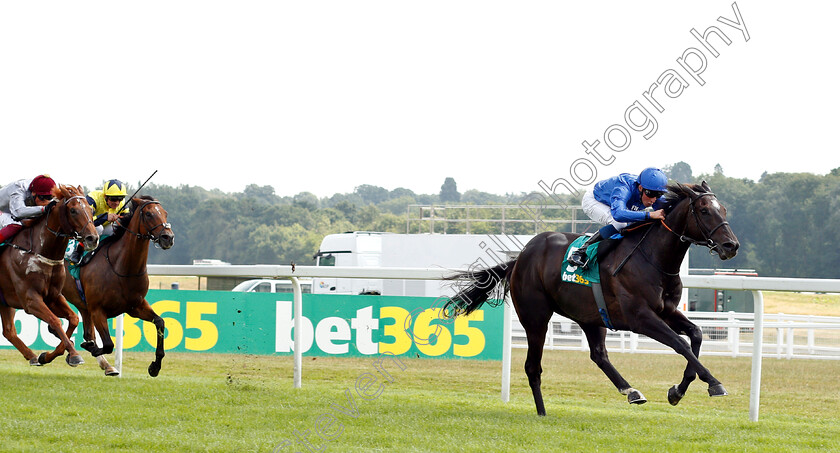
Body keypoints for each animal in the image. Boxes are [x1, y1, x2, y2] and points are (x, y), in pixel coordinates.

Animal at [0, 185, 100, 366]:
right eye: (73, 210)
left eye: (91, 209)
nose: (93, 238)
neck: (38, 251)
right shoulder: (30, 299)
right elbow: (55, 320)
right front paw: (74, 353)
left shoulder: (53, 296)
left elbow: (73, 319)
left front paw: (49, 355)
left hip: (5, 301)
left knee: (9, 331)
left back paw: (32, 356)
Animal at [62, 196, 176, 376]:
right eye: (149, 214)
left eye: (165, 213)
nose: (168, 238)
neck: (121, 266)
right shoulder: (97, 310)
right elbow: (108, 344)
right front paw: (88, 347)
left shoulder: (135, 306)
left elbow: (160, 322)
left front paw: (155, 365)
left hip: (82, 305)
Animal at [442, 182, 740, 414]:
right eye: (704, 210)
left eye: (724, 210)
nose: (731, 245)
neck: (653, 259)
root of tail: (521, 257)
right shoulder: (641, 318)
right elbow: (681, 344)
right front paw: (714, 383)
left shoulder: (666, 312)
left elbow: (696, 335)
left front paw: (678, 390)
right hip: (535, 317)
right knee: (532, 367)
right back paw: (542, 412)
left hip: (590, 316)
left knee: (599, 354)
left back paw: (631, 391)